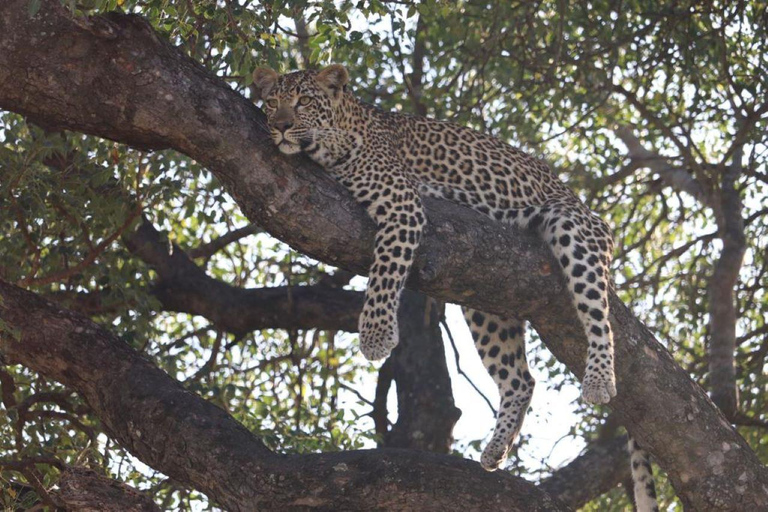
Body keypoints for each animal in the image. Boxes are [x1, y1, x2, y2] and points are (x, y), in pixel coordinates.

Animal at [254, 64, 660, 512]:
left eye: (304, 102)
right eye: (272, 102)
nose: (280, 125)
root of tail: (586, 208)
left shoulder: (403, 205)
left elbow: (385, 272)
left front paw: (376, 336)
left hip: (574, 229)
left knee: (599, 319)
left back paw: (600, 380)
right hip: (488, 298)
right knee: (521, 379)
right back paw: (495, 450)